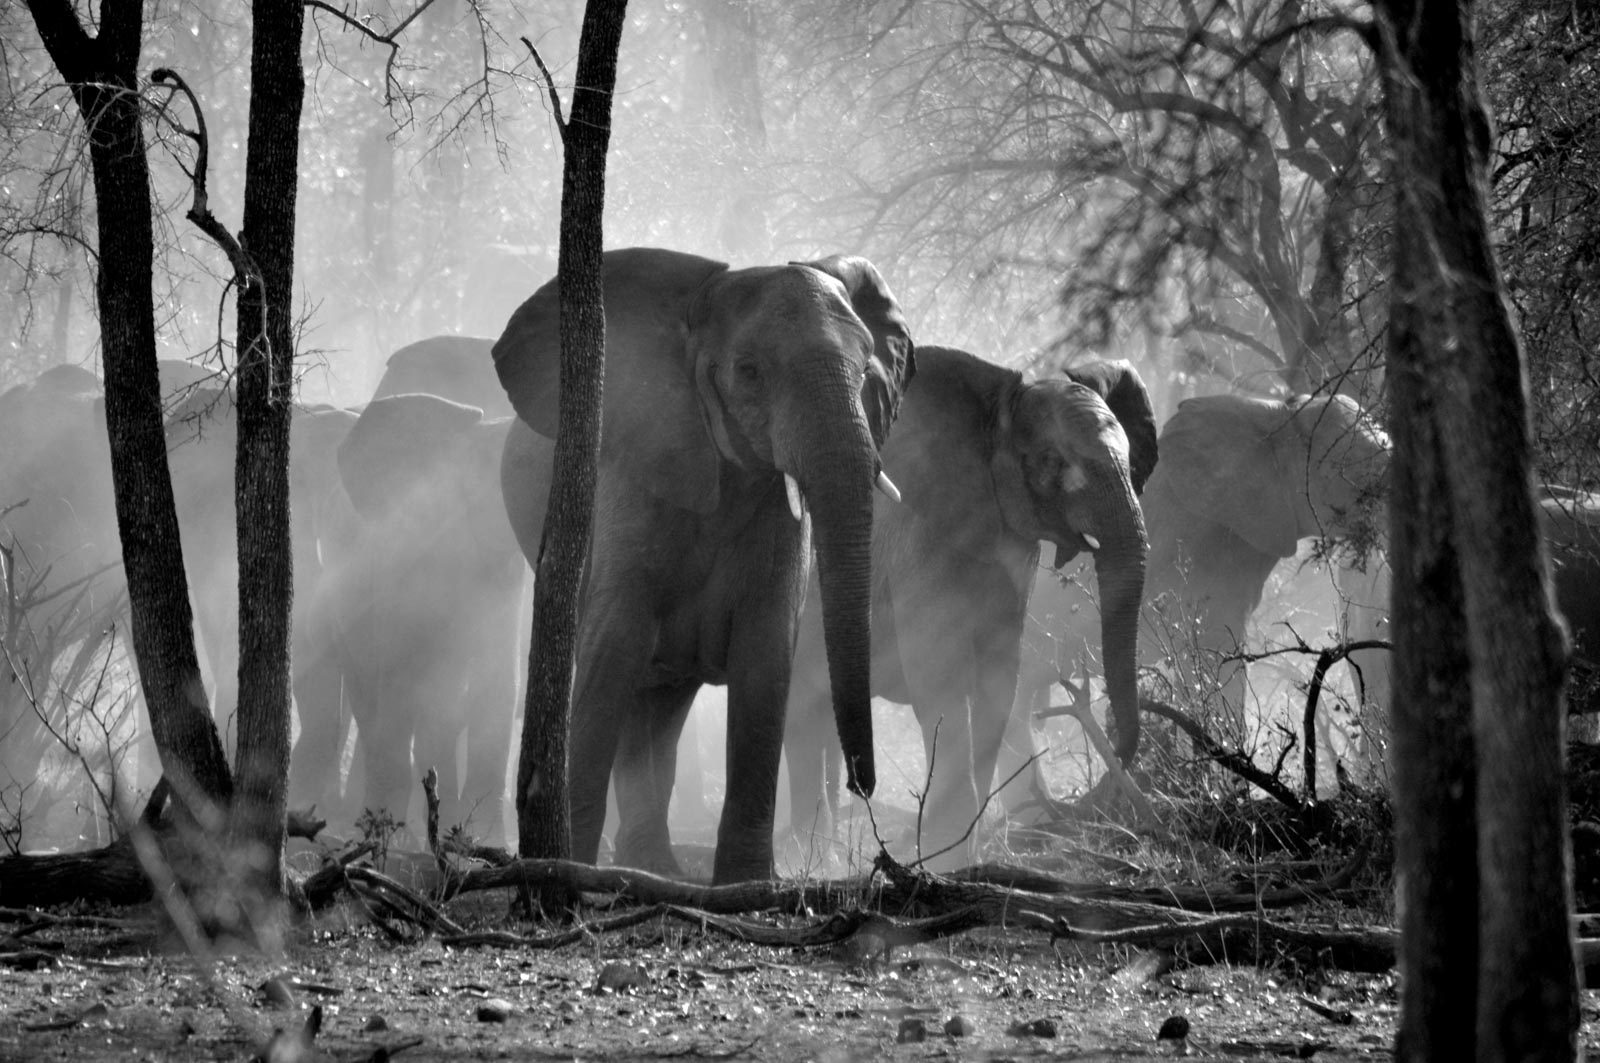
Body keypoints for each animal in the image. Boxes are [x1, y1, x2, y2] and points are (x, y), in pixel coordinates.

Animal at [495, 246, 915, 884]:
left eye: (867, 367)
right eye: (749, 371)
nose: (861, 786)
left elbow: (765, 661)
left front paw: (747, 882)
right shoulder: (627, 477)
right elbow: (609, 652)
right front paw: (567, 870)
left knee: (659, 710)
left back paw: (654, 869)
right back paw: (641, 871)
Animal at [782, 347, 1157, 865]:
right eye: (1049, 461)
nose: (1118, 746)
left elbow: (1000, 685)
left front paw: (959, 859)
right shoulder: (918, 544)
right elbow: (942, 685)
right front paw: (943, 859)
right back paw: (810, 860)